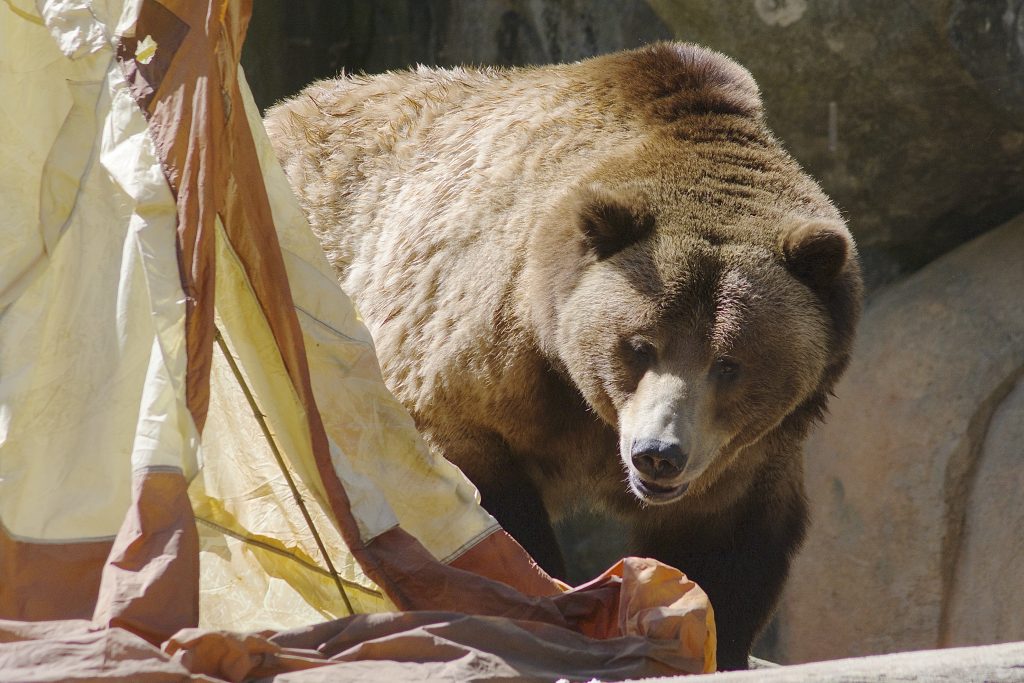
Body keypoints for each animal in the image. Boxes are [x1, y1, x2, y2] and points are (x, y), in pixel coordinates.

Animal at [268, 41, 860, 667]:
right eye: (639, 345)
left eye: (729, 363)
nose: (658, 454)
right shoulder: (479, 357)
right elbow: (471, 496)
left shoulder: (742, 457)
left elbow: (725, 546)